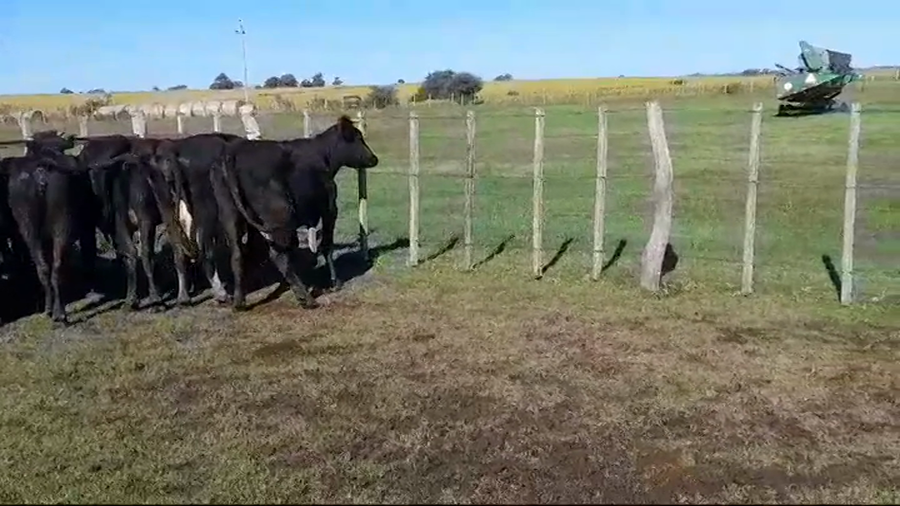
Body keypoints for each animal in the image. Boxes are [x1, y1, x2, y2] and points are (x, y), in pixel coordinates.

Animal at [213, 115, 379, 311]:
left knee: (237, 255)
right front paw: (334, 282)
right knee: (279, 255)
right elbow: (326, 245)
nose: (374, 158)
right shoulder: (330, 208)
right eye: (358, 138)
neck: (323, 155)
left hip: (230, 216)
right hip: (281, 215)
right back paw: (306, 298)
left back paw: (239, 302)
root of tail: (234, 153)